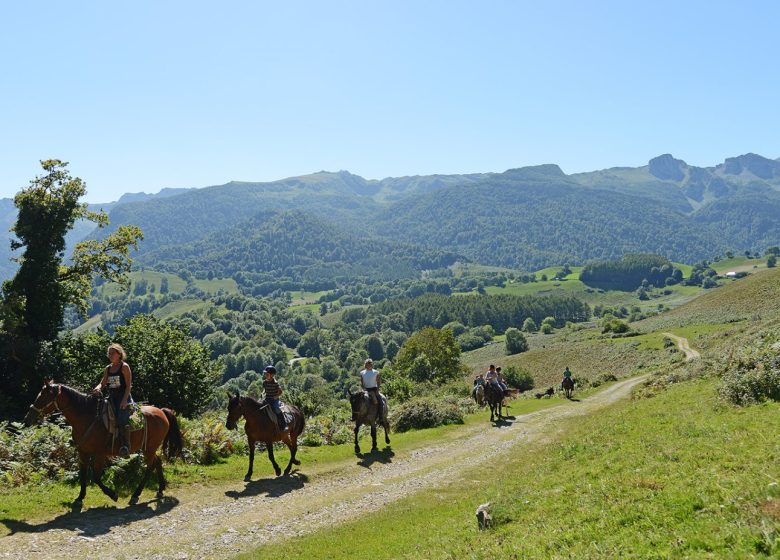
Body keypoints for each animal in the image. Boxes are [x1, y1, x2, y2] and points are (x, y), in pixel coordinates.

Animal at [23, 380, 183, 504]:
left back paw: (135, 495)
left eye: (44, 397)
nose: (27, 418)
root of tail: (161, 412)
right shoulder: (83, 452)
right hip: (149, 448)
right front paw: (80, 498)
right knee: (157, 462)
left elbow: (95, 477)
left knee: (150, 467)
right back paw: (160, 489)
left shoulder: (100, 454)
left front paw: (113, 494)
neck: (87, 417)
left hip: (149, 448)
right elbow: (83, 474)